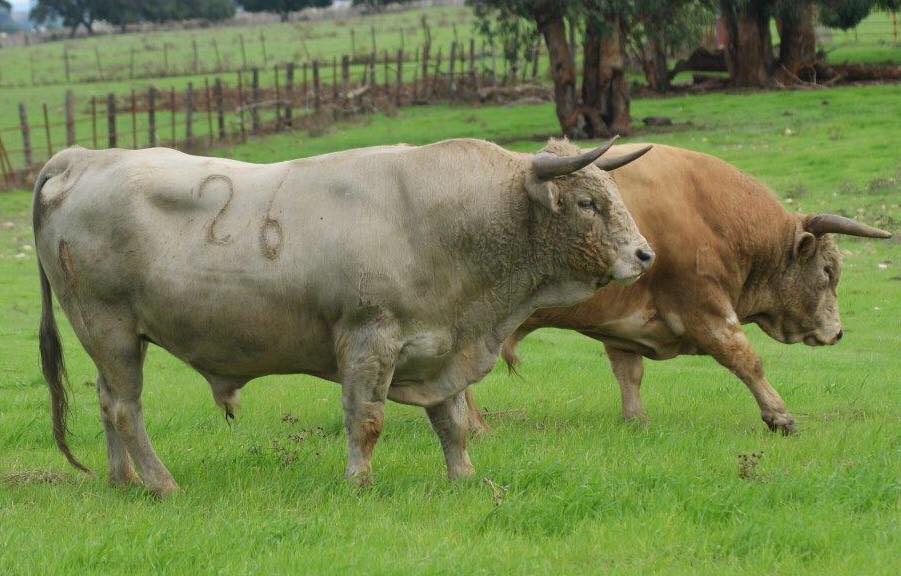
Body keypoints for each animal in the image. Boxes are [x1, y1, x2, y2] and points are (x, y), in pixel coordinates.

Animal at [468, 143, 888, 432]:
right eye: (829, 271)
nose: (837, 332)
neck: (709, 212)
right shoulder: (704, 306)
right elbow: (744, 358)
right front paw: (779, 415)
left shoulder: (619, 326)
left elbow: (629, 374)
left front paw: (636, 421)